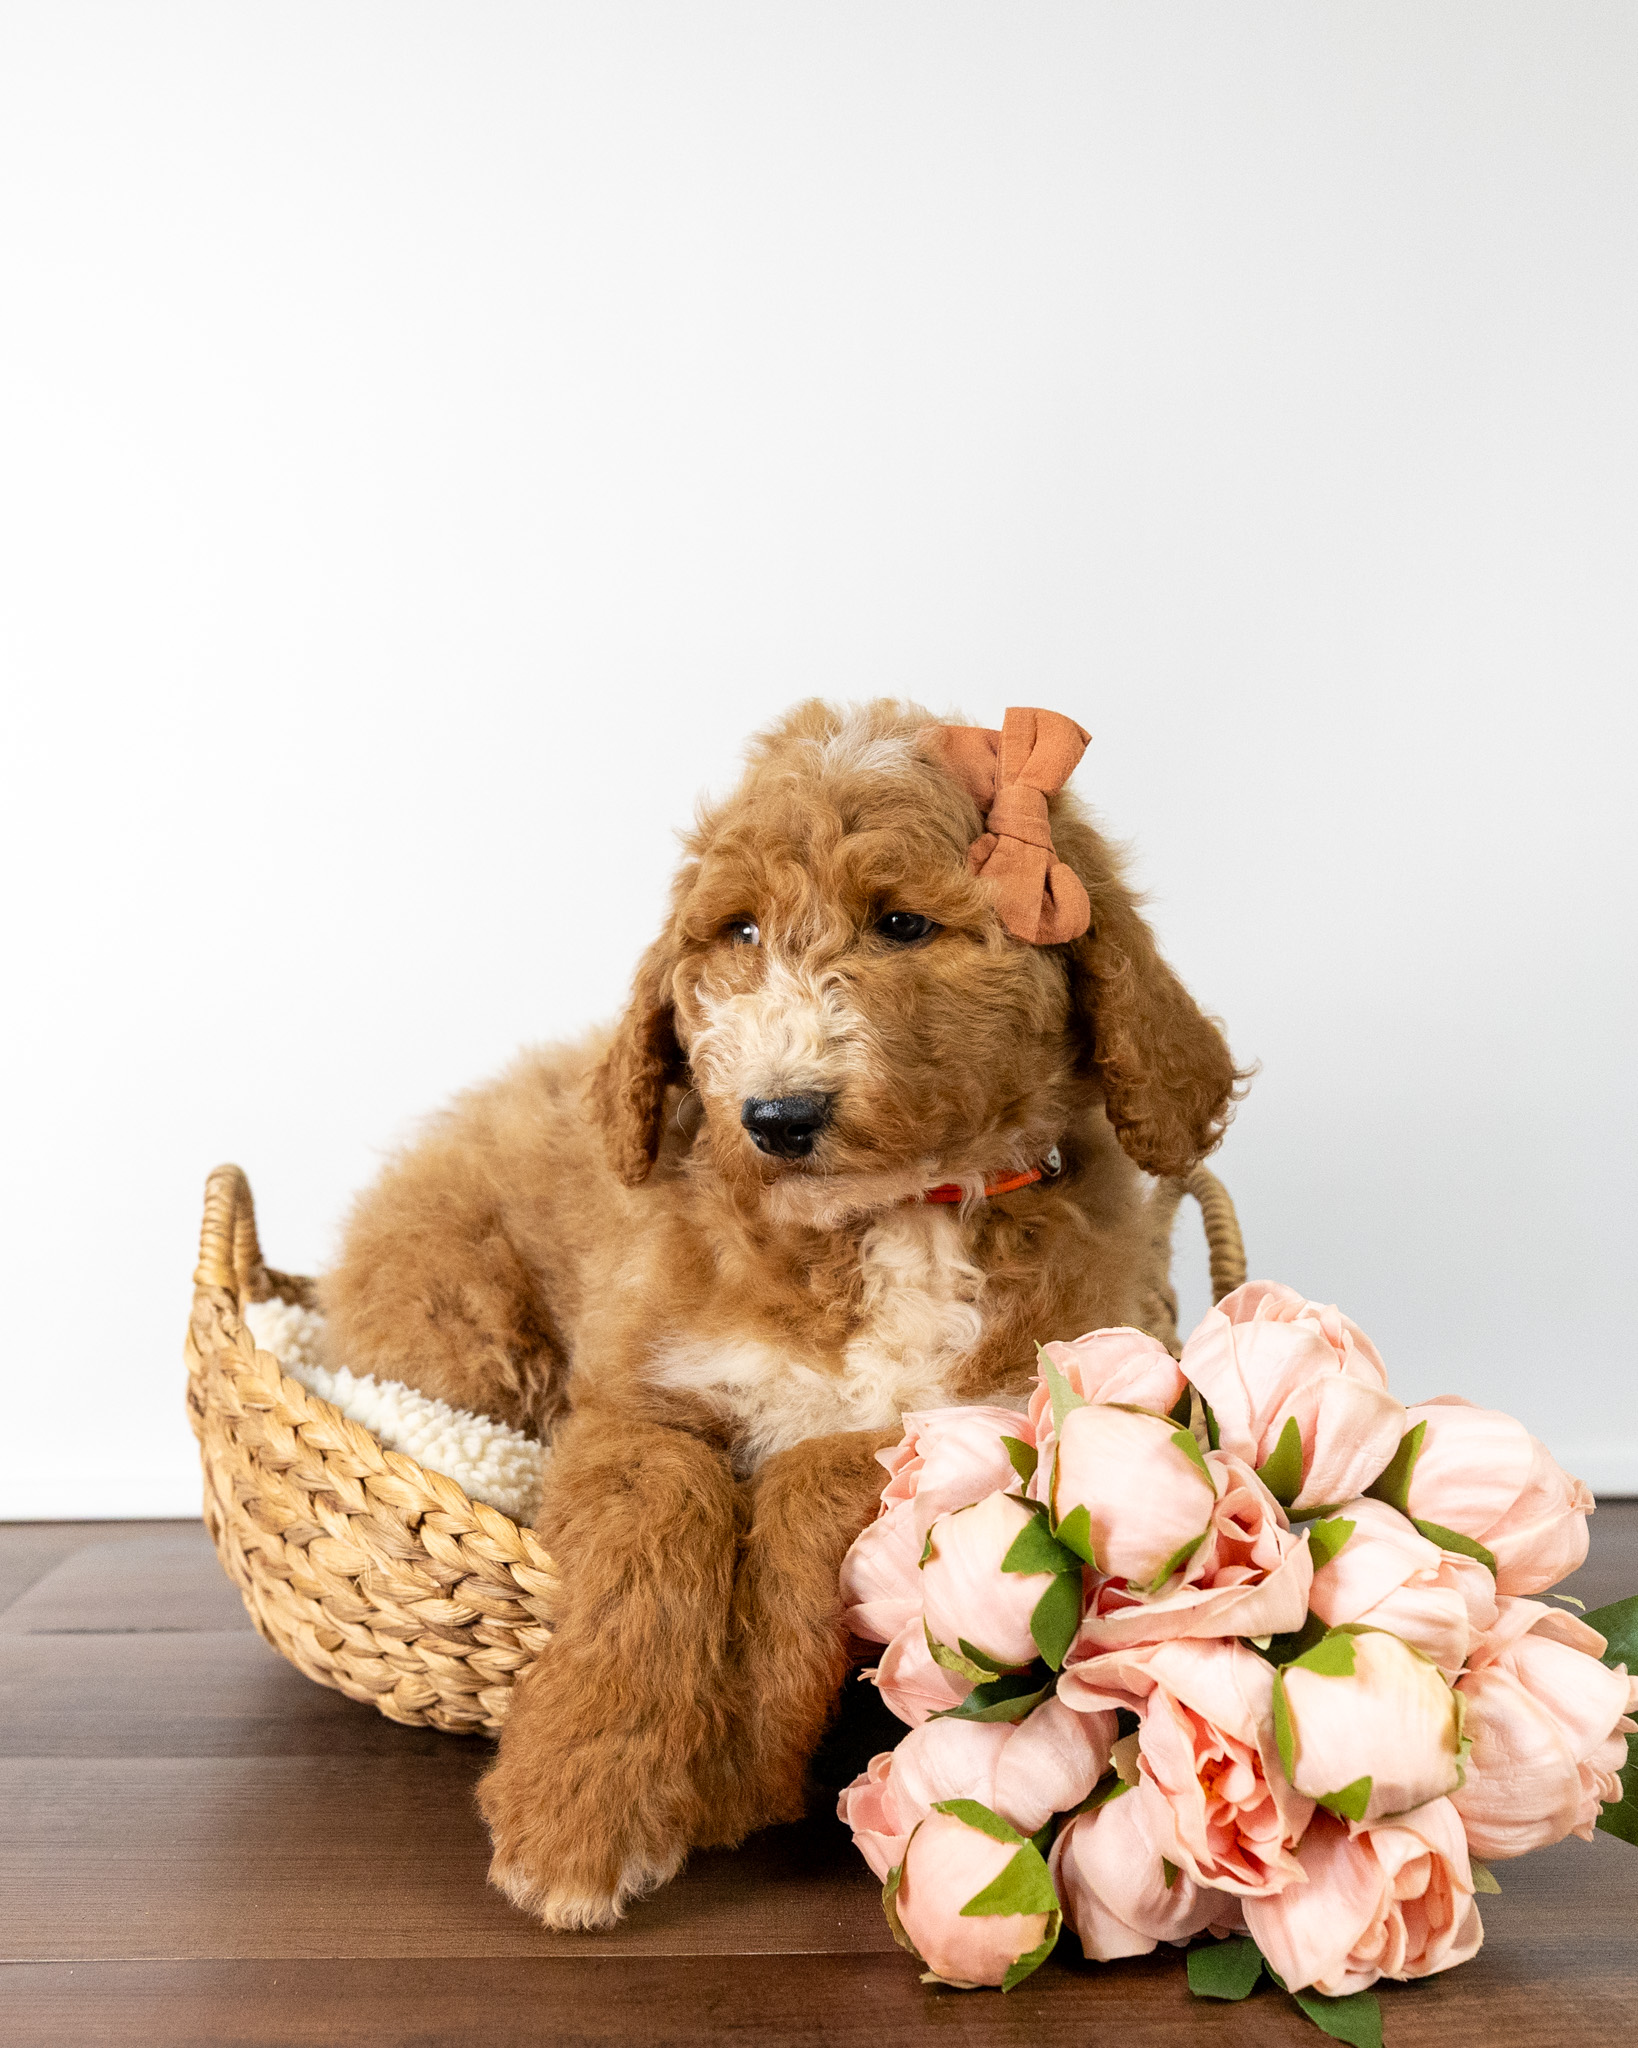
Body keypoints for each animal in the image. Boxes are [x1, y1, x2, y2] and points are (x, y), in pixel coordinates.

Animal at [319, 697, 1243, 1928]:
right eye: (740, 930)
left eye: (901, 922)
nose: (776, 1116)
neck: (892, 1219)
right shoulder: (634, 1404)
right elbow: (662, 1505)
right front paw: (579, 1813)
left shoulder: (1009, 1412)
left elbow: (813, 1474)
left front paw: (739, 1754)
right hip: (460, 1330)